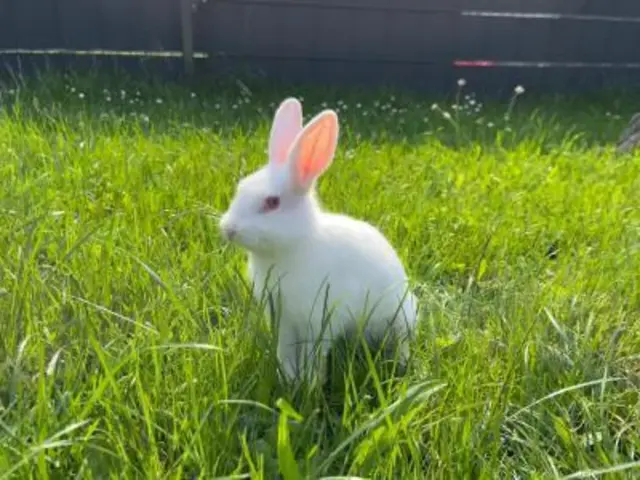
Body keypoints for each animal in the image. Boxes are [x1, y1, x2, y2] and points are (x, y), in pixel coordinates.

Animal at [219, 97, 418, 384]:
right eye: (241, 187)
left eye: (272, 203)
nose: (228, 229)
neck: (292, 247)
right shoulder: (283, 320)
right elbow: (285, 350)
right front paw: (288, 378)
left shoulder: (319, 320)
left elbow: (314, 353)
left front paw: (310, 382)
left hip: (401, 316)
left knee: (402, 342)